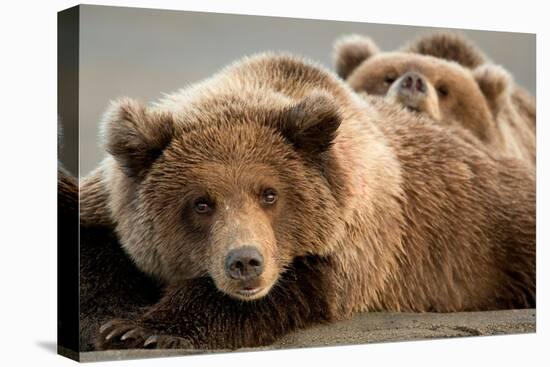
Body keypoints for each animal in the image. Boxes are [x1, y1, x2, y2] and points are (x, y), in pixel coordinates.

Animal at [83, 52, 540, 350]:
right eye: (201, 202)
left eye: (270, 194)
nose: (245, 262)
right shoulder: (108, 203)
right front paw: (113, 322)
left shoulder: (355, 236)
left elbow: (297, 286)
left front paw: (148, 328)